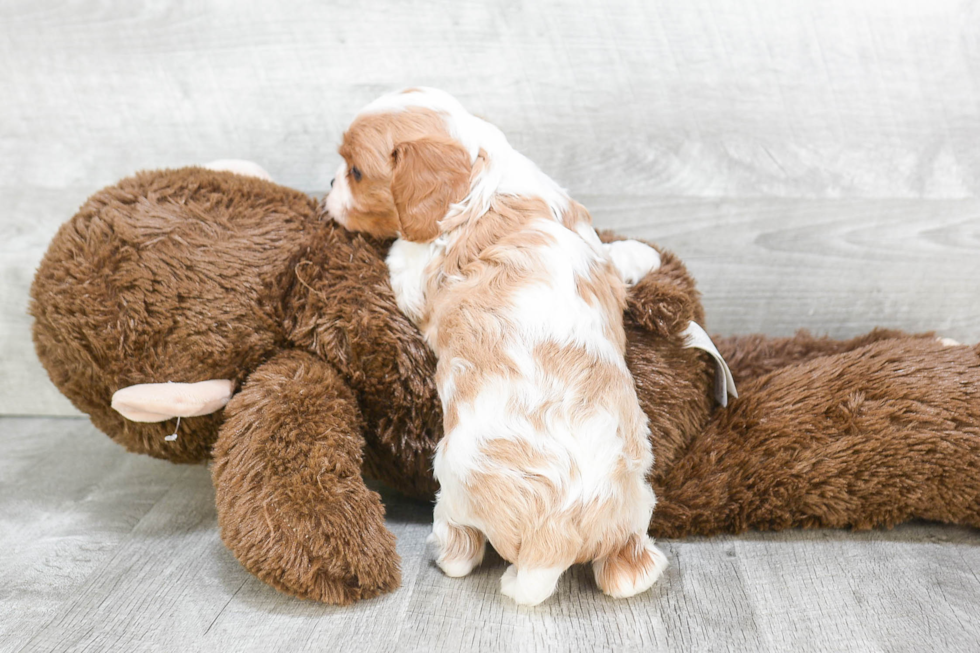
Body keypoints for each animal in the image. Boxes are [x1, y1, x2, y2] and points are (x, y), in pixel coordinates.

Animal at [328, 89, 668, 604]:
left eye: (356, 172)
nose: (329, 182)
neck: (487, 175)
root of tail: (555, 538)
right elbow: (611, 258)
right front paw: (642, 256)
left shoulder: (415, 271)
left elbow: (398, 258)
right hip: (636, 507)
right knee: (629, 571)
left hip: (451, 479)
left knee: (462, 543)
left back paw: (445, 554)